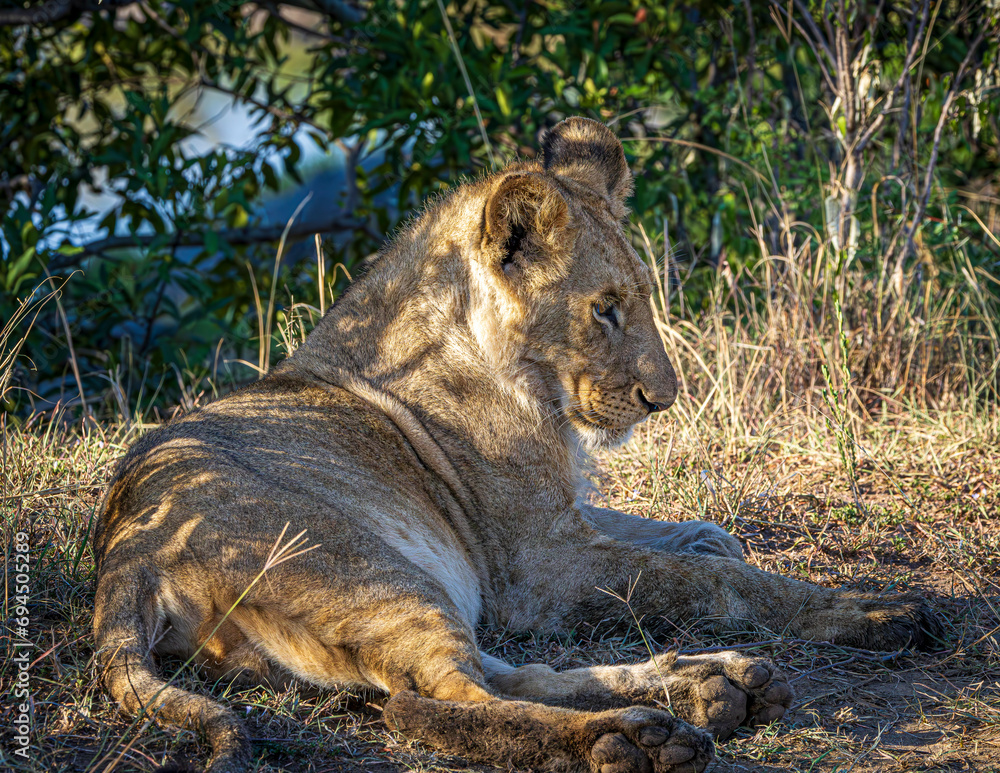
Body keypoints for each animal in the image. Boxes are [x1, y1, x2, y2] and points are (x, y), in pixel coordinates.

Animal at [93, 117, 938, 773]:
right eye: (604, 308)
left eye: (638, 300)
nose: (664, 398)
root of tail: (127, 553)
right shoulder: (532, 567)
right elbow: (716, 583)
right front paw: (871, 608)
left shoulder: (553, 519)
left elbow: (658, 533)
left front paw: (710, 537)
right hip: (372, 570)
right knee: (429, 702)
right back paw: (637, 738)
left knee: (509, 672)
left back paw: (714, 687)